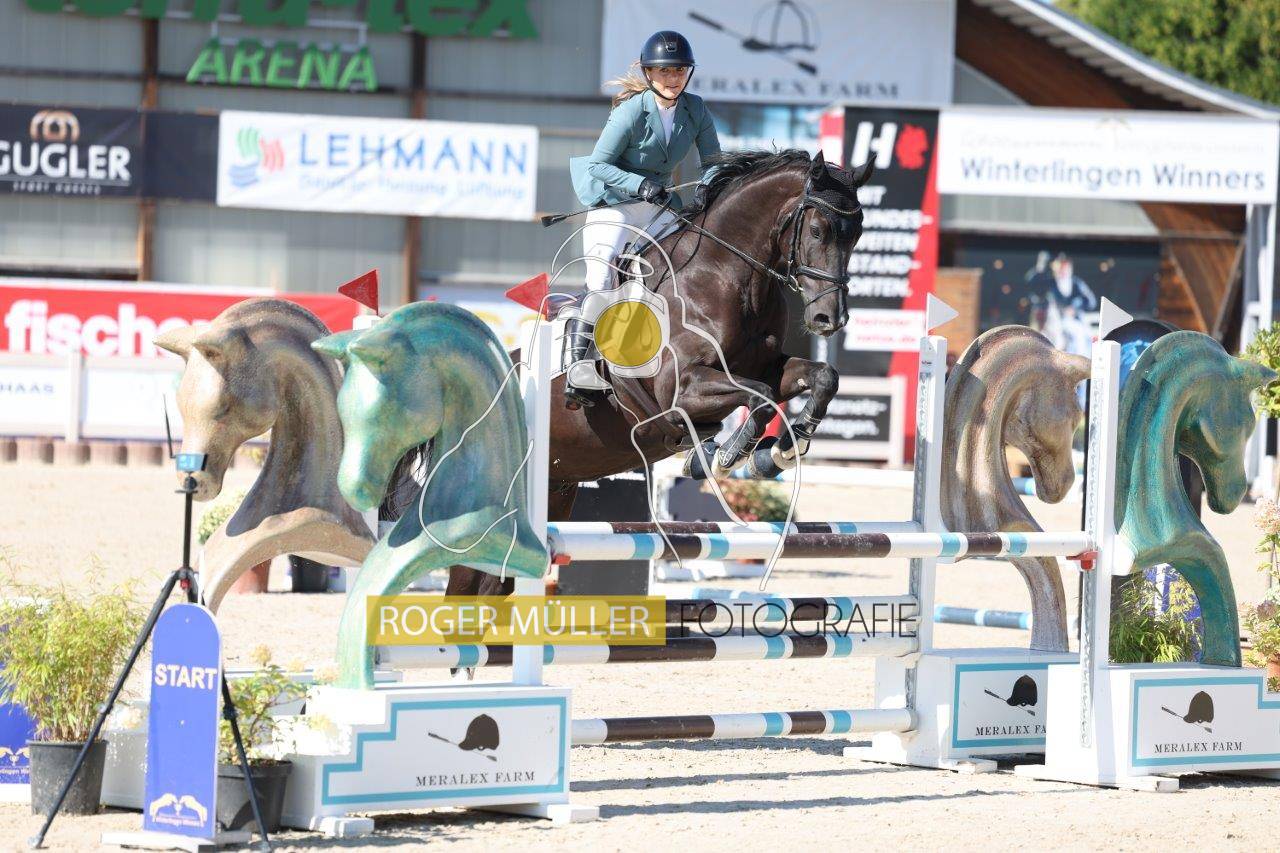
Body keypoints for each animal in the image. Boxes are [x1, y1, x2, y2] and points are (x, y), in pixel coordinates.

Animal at [448, 148, 873, 599]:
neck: (725, 276)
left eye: (857, 234)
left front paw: (780, 452)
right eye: (817, 230)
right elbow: (757, 398)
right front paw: (727, 456)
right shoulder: (681, 391)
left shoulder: (769, 367)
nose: (830, 319)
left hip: (551, 493)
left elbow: (822, 378)